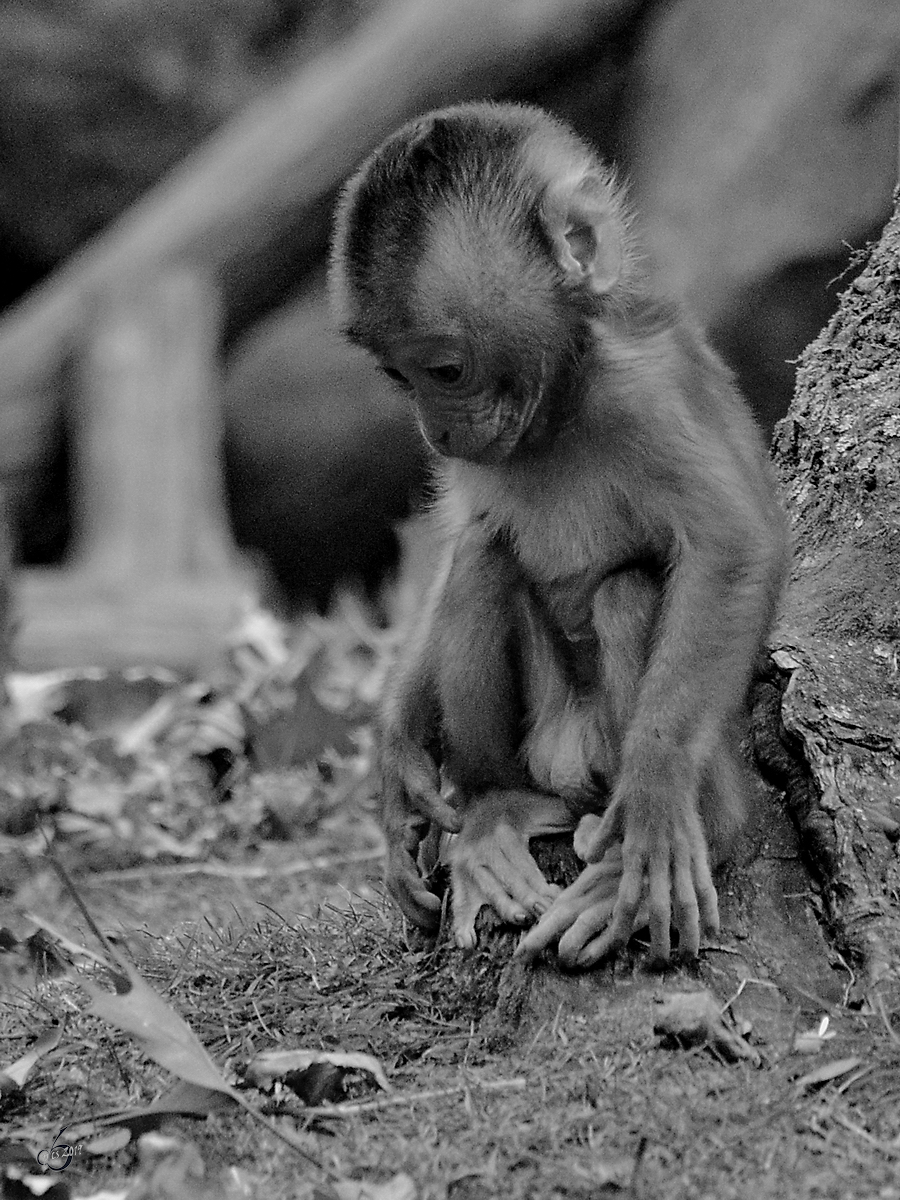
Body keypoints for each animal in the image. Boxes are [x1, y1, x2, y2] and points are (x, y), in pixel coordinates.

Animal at [331, 100, 787, 964]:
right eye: (400, 378)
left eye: (445, 371)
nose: (436, 430)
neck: (563, 404)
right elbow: (464, 537)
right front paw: (398, 751)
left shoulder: (647, 388)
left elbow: (732, 550)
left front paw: (658, 790)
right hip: (541, 740)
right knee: (483, 559)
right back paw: (495, 807)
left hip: (618, 754)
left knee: (625, 592)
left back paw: (692, 831)